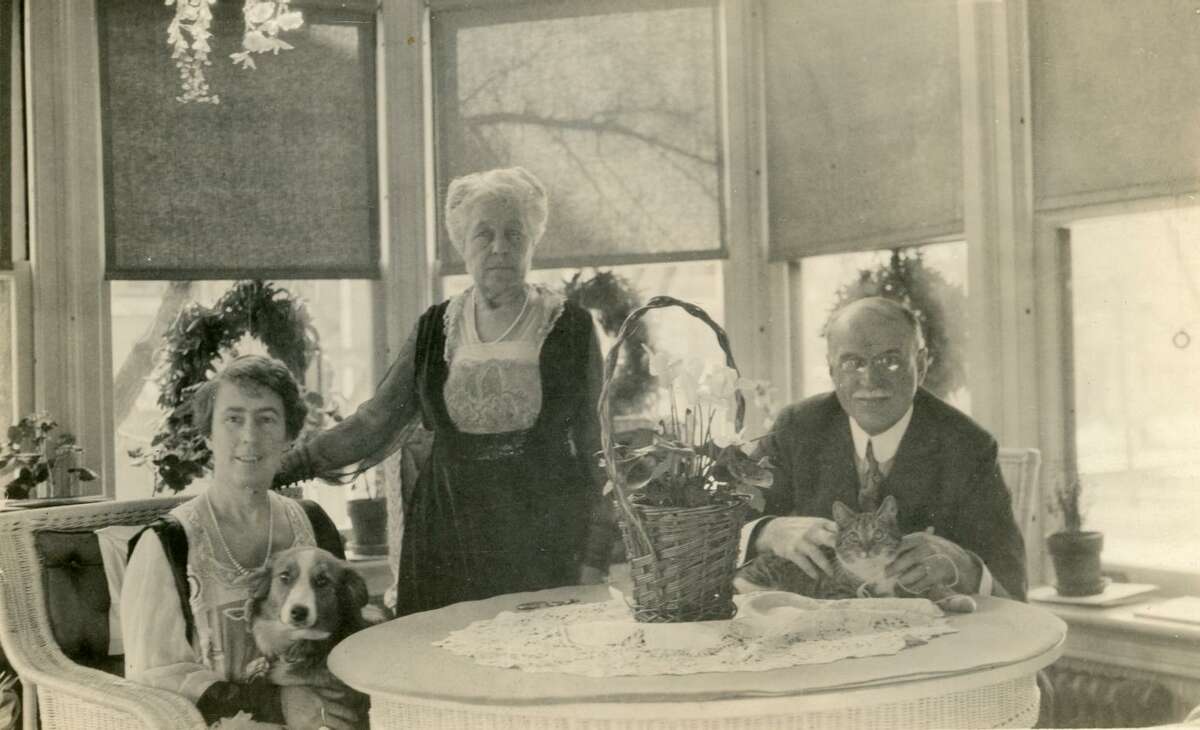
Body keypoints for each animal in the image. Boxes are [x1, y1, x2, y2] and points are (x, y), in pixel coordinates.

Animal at [729, 497, 974, 609]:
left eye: (878, 535)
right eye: (854, 536)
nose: (867, 548)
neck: (873, 571)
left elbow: (930, 588)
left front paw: (956, 598)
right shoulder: (836, 593)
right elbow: (880, 597)